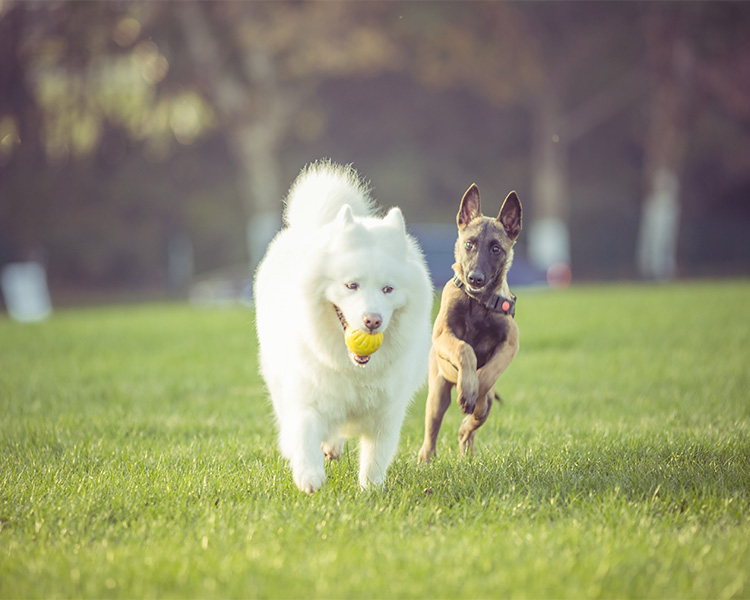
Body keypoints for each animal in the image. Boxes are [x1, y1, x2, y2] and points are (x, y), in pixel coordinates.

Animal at [256, 161, 432, 492]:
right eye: (352, 285)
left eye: (388, 289)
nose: (372, 321)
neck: (354, 370)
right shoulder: (307, 398)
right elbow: (305, 436)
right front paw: (309, 477)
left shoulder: (386, 414)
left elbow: (375, 458)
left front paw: (370, 491)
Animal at [418, 184, 524, 464]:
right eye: (469, 244)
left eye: (496, 249)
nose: (475, 278)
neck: (478, 303)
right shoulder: (444, 336)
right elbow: (465, 349)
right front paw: (468, 388)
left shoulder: (510, 344)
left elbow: (487, 375)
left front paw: (474, 394)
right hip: (437, 393)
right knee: (431, 431)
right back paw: (425, 460)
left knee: (471, 427)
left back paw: (468, 440)